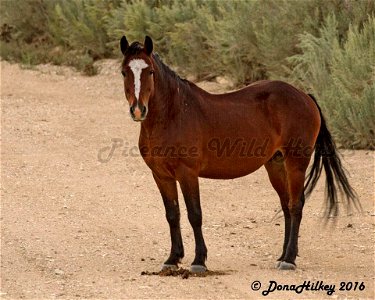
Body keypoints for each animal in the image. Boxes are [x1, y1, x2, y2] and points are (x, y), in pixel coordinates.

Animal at [119, 35, 358, 272]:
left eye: (150, 71)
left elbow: (194, 214)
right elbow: (172, 215)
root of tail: (304, 96)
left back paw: (289, 260)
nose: (138, 110)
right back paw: (282, 256)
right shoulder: (161, 176)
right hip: (276, 164)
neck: (174, 114)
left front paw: (199, 261)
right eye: (124, 72)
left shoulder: (187, 174)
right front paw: (172, 259)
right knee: (286, 206)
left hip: (296, 163)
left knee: (296, 205)